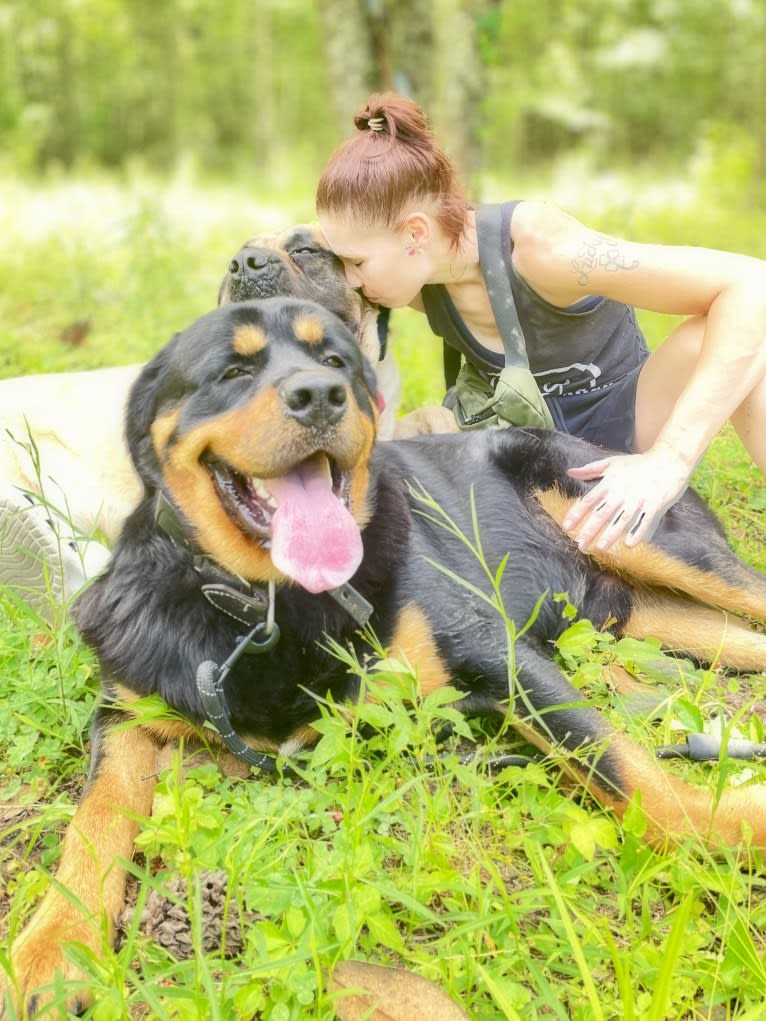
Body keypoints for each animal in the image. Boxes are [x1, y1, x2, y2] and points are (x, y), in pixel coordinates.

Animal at [6, 296, 766, 1012]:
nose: (320, 394)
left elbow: (633, 776)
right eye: (233, 371)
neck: (276, 605)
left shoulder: (498, 653)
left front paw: (737, 825)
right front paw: (54, 945)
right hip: (656, 614)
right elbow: (95, 816)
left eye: (336, 360)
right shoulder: (128, 711)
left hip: (655, 544)